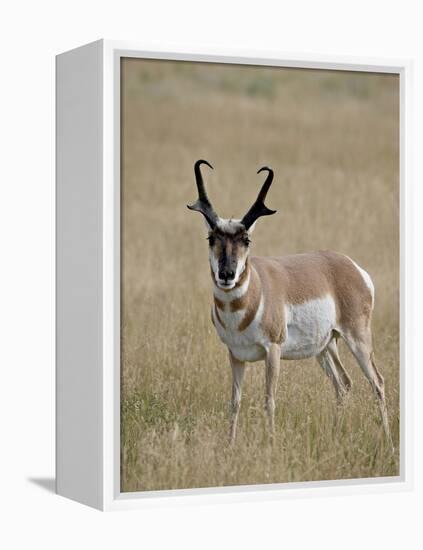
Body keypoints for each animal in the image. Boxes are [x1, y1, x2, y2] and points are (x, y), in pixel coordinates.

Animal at [187, 160, 392, 448]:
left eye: (246, 240)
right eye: (211, 238)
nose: (227, 274)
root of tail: (351, 266)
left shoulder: (273, 351)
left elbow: (269, 401)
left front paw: (270, 445)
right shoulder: (236, 355)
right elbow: (235, 402)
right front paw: (230, 445)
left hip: (357, 340)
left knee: (377, 382)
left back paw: (388, 443)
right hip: (326, 346)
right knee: (343, 384)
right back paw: (335, 436)